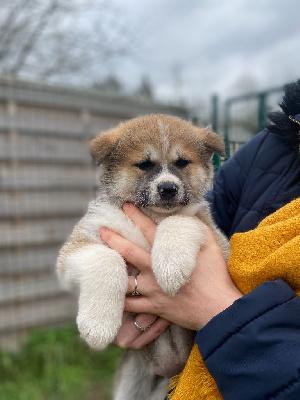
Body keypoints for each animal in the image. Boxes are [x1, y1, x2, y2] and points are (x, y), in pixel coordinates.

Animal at [56, 114, 230, 398]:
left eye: (182, 162)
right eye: (144, 165)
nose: (168, 188)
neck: (152, 215)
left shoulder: (220, 245)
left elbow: (179, 219)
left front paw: (170, 265)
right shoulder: (77, 247)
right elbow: (106, 259)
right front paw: (98, 324)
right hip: (131, 379)